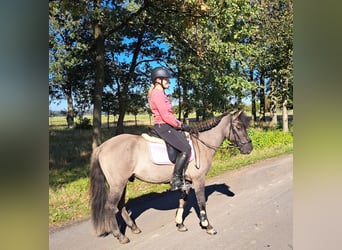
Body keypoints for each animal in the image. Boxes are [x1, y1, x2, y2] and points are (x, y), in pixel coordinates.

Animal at [89, 109, 252, 244]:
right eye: (238, 127)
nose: (249, 148)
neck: (201, 144)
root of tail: (102, 147)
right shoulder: (199, 180)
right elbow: (201, 203)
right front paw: (208, 226)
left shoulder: (186, 182)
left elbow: (182, 201)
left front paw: (180, 224)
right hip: (118, 184)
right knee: (110, 207)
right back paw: (121, 236)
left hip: (122, 183)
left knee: (120, 204)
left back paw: (134, 228)